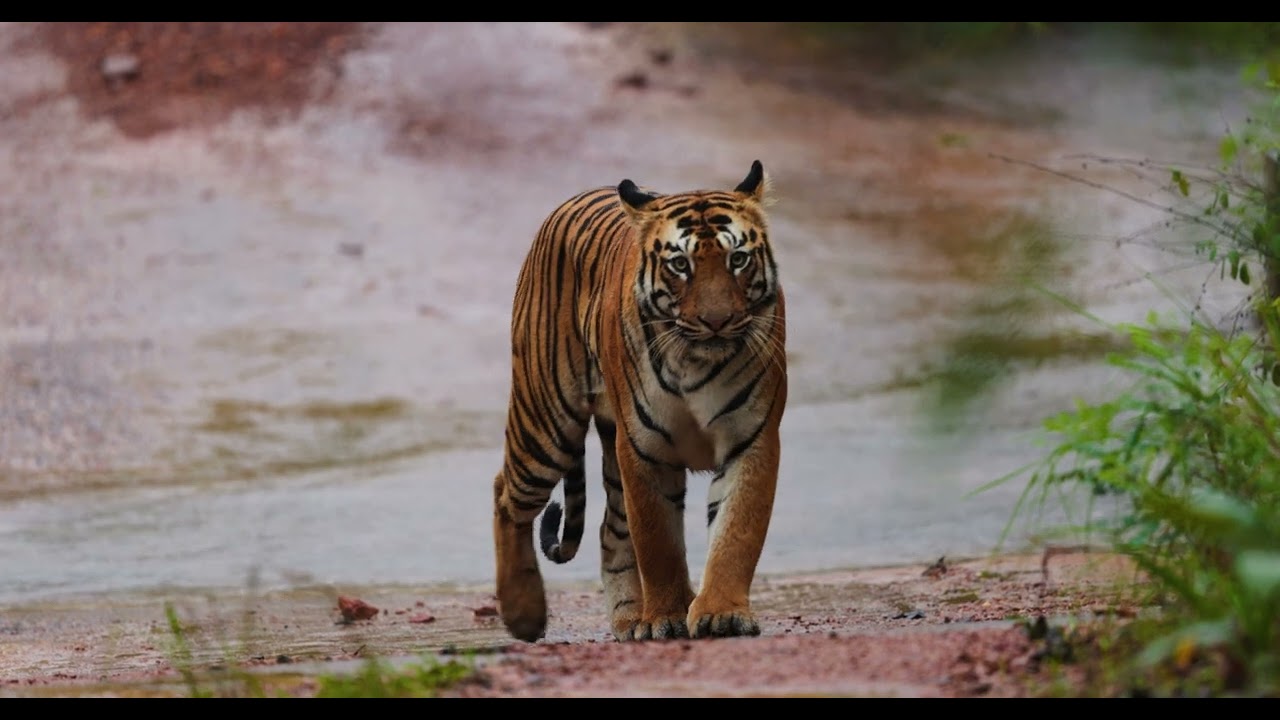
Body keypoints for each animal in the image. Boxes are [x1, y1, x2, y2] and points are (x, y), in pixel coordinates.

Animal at [491, 160, 787, 643]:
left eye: (738, 259)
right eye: (681, 264)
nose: (717, 321)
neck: (697, 361)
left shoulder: (752, 439)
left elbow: (736, 533)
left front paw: (720, 613)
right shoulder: (644, 448)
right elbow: (657, 541)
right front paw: (667, 615)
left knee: (610, 529)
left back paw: (628, 618)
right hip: (547, 423)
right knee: (506, 495)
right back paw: (524, 613)